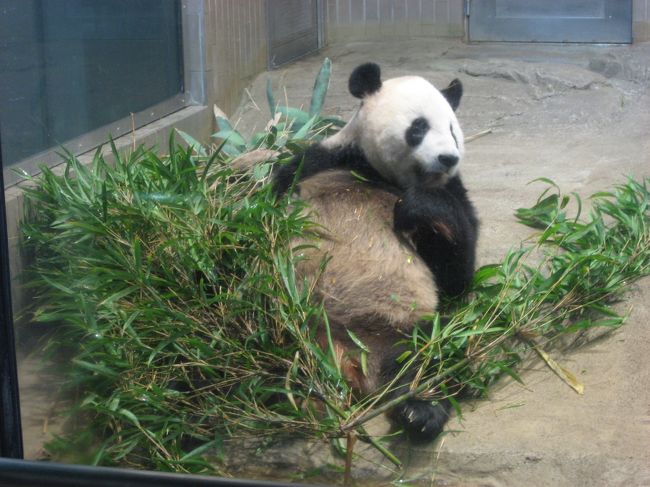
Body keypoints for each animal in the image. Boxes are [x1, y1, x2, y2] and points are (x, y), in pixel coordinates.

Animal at [274, 62, 476, 442]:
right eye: (419, 127)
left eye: (453, 130)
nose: (449, 158)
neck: (376, 172)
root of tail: (349, 363)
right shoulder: (321, 160)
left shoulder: (452, 195)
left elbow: (457, 274)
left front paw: (417, 206)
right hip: (287, 322)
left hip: (405, 325)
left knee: (426, 353)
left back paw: (420, 411)